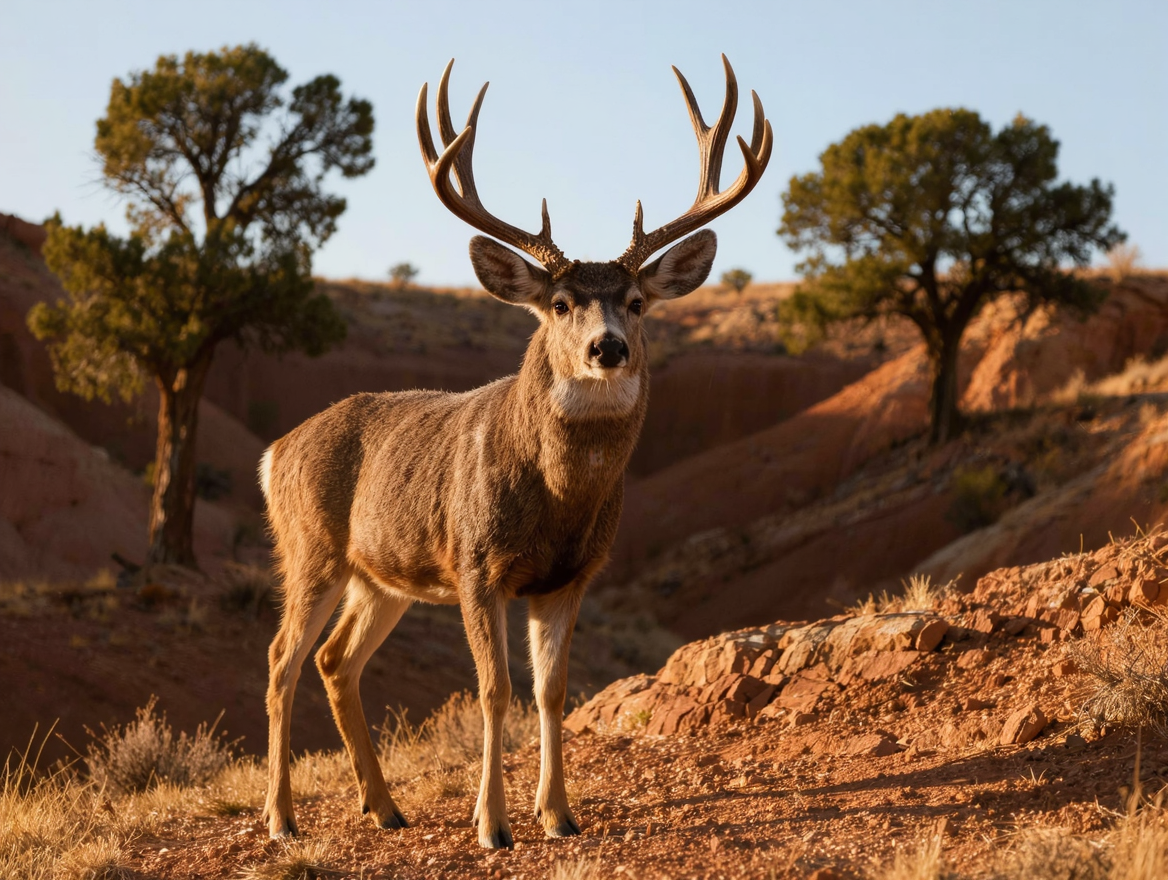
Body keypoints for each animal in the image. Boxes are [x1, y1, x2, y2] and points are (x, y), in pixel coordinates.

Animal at [260, 55, 772, 849]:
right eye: (560, 304)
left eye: (637, 302)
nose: (607, 347)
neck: (558, 502)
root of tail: (275, 451)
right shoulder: (476, 563)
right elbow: (494, 689)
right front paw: (492, 825)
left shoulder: (569, 576)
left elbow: (552, 691)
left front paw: (558, 814)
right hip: (310, 547)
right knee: (282, 659)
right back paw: (282, 819)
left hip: (381, 576)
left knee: (334, 659)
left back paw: (384, 807)